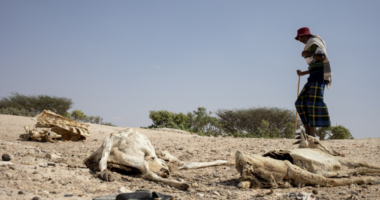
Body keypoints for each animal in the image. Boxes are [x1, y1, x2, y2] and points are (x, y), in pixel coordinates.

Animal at [85, 129, 233, 190]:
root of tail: (112, 138)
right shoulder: (176, 162)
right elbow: (198, 163)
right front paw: (228, 161)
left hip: (116, 155)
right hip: (135, 158)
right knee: (148, 174)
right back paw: (181, 184)